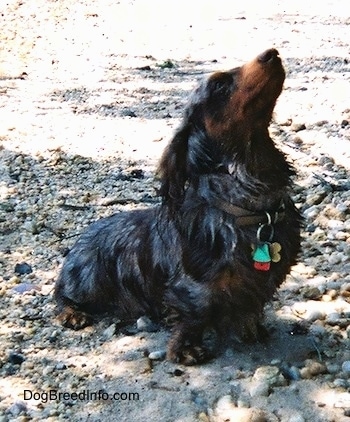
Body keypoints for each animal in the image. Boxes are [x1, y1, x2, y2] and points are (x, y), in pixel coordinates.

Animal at [54, 49, 300, 364]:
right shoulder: (194, 288)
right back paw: (71, 313)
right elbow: (195, 315)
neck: (252, 207)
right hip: (88, 280)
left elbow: (251, 307)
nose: (273, 53)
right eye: (219, 85)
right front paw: (186, 349)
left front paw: (251, 330)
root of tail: (81, 239)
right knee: (60, 294)